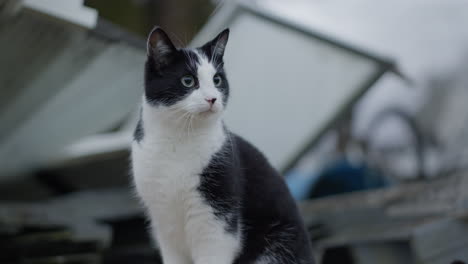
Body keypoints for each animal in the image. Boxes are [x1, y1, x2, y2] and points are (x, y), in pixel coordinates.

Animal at [132, 25, 314, 264]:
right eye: (188, 81)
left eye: (217, 80)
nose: (212, 98)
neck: (177, 138)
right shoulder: (165, 226)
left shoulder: (216, 224)